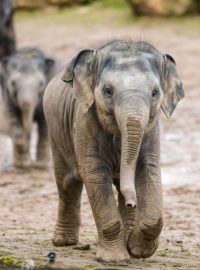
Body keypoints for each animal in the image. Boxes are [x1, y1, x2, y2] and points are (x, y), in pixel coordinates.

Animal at [43, 40, 184, 264]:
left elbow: (148, 170)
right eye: (108, 91)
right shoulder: (84, 121)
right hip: (56, 131)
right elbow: (95, 174)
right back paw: (63, 243)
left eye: (155, 93)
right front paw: (114, 259)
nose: (132, 204)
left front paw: (138, 252)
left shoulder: (151, 131)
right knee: (66, 184)